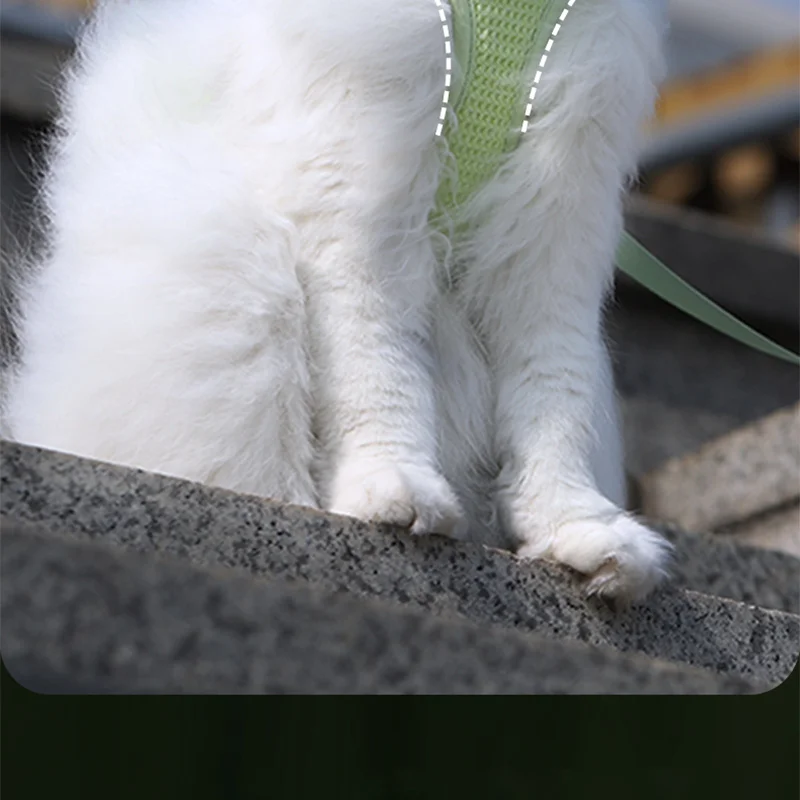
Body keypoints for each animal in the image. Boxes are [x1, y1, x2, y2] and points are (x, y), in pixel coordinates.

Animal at [4, 0, 672, 601]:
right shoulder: (357, 206)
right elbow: (378, 368)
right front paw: (392, 489)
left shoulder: (557, 230)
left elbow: (555, 401)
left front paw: (584, 534)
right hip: (239, 265)